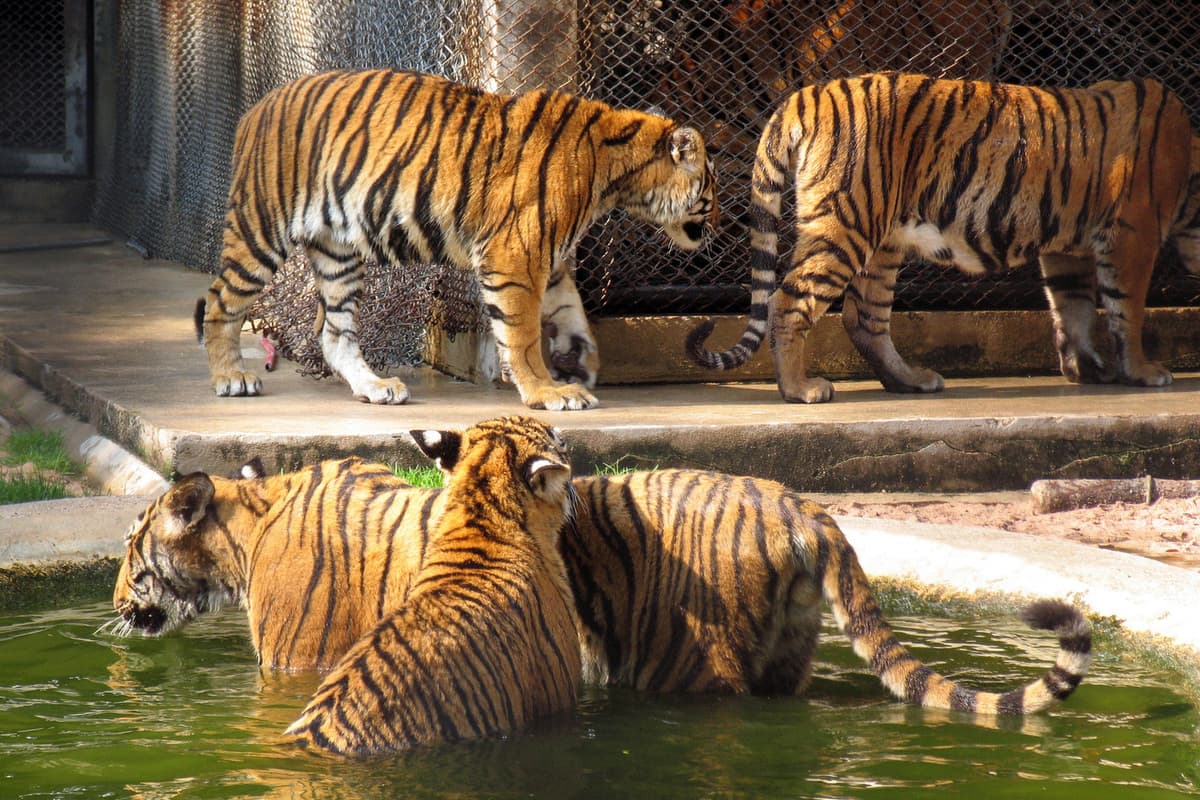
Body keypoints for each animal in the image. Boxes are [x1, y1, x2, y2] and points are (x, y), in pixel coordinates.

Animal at [113, 459, 1091, 716]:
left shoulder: (296, 665)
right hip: (785, 659)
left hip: (682, 666)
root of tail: (797, 503)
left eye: (129, 550)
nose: (116, 604)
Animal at [196, 68, 718, 411]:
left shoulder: (547, 259)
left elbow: (573, 312)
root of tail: (256, 107)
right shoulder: (517, 255)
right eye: (711, 189)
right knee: (221, 302)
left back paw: (376, 387)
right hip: (262, 230)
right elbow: (523, 335)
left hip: (338, 253)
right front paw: (547, 392)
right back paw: (231, 378)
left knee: (335, 334)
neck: (618, 174)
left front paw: (582, 360)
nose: (715, 224)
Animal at [688, 72, 1200, 403]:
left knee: (864, 318)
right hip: (844, 224)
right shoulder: (1133, 235)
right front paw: (1143, 372)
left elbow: (1072, 307)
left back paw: (910, 380)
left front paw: (1086, 370)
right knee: (789, 301)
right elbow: (1126, 309)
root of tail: (808, 93)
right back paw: (800, 390)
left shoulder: (1064, 250)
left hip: (882, 242)